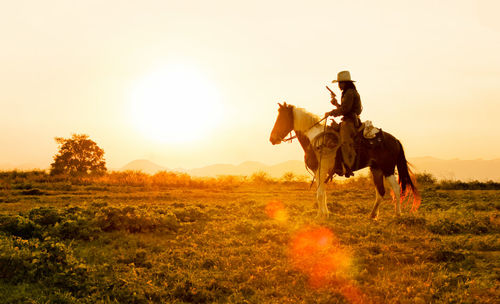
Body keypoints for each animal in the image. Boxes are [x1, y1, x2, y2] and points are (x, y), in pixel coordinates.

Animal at [270, 102, 418, 218]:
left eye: (281, 119)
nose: (272, 139)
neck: (315, 139)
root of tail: (395, 139)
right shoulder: (319, 171)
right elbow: (322, 193)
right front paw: (324, 214)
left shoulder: (321, 170)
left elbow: (320, 194)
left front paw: (321, 215)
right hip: (376, 170)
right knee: (380, 192)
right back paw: (372, 215)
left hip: (388, 169)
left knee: (396, 189)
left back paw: (397, 213)